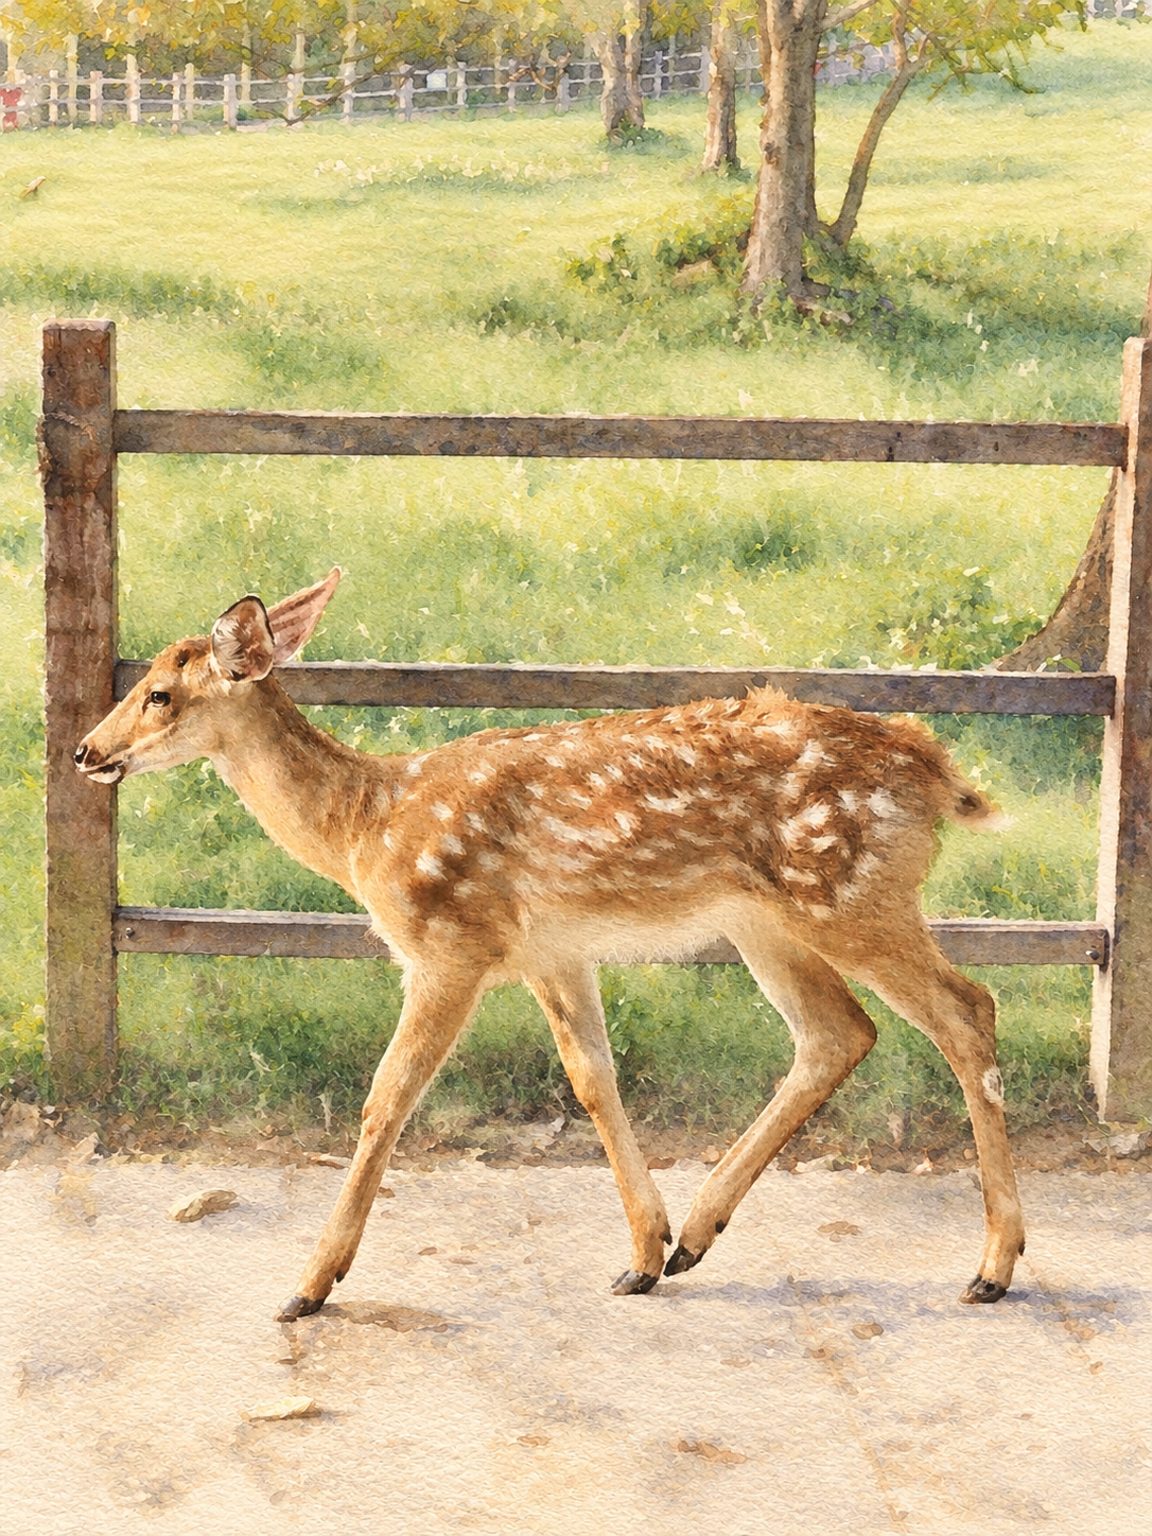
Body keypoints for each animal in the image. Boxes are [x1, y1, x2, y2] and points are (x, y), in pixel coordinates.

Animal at [74, 568, 1025, 1322]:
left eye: (159, 692)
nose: (87, 750)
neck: (367, 829)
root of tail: (936, 770)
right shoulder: (551, 954)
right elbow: (593, 1079)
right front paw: (643, 1253)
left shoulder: (448, 946)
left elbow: (386, 1098)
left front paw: (307, 1286)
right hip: (765, 920)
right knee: (839, 1033)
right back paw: (695, 1239)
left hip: (852, 894)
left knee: (965, 1009)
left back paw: (993, 1267)